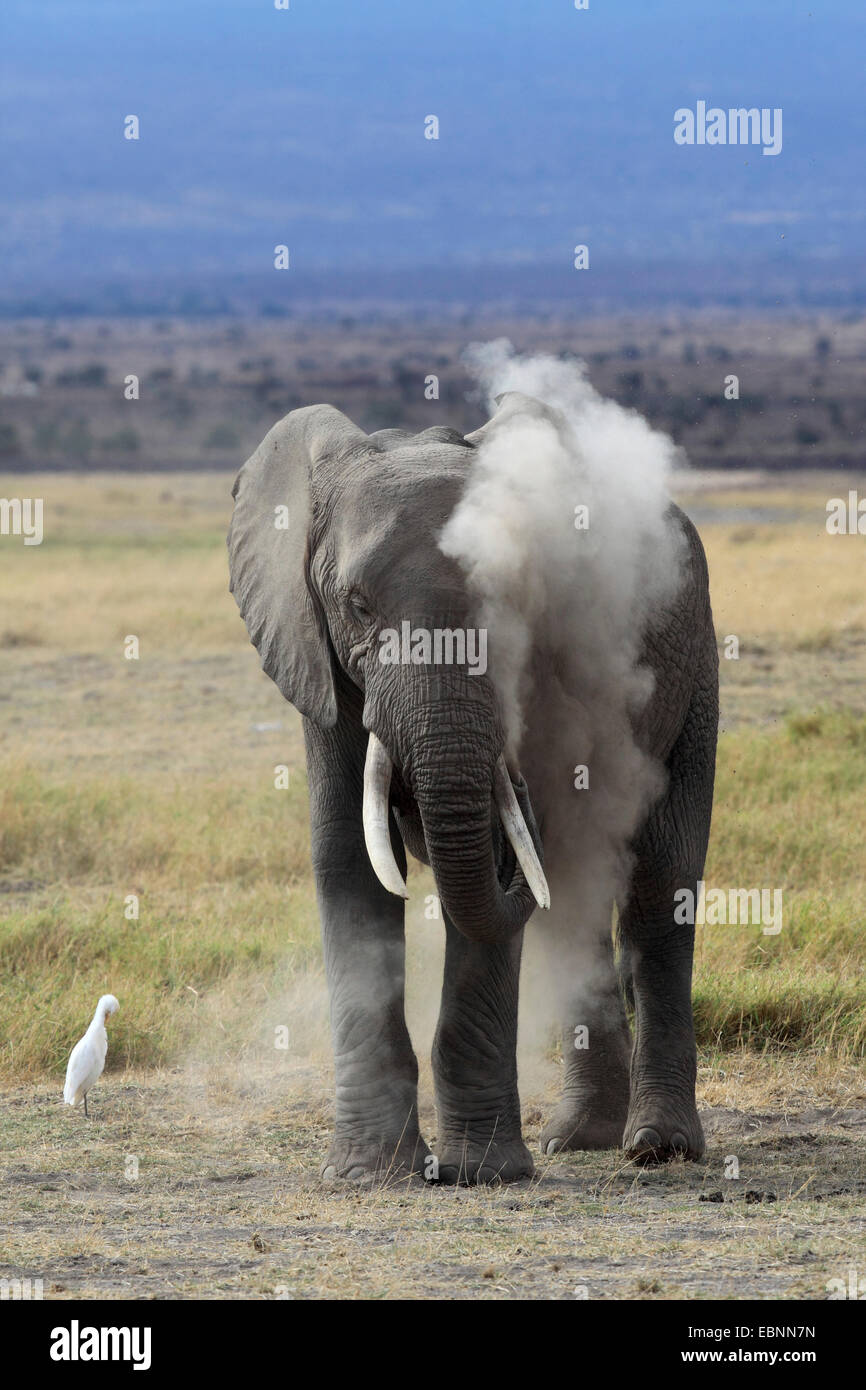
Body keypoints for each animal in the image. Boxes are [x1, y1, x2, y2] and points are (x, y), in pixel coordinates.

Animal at [225, 391, 717, 1184]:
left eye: (509, 600)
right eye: (356, 605)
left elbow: (491, 873)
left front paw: (480, 1174)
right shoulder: (317, 656)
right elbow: (348, 857)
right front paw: (369, 1174)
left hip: (694, 664)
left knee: (655, 886)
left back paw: (656, 1146)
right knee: (570, 903)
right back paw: (580, 1138)